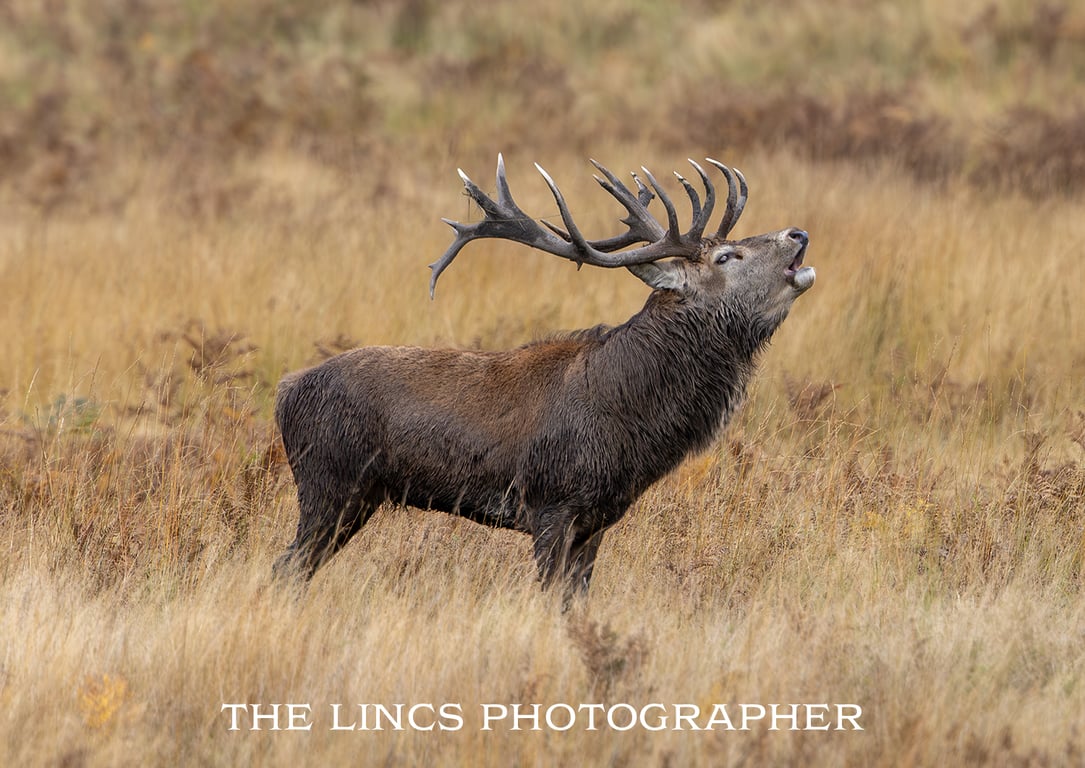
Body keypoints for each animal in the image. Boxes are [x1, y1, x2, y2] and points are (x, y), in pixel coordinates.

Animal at [272, 154, 815, 603]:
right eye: (726, 257)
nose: (797, 233)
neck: (629, 422)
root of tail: (285, 393)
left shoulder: (597, 521)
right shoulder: (552, 504)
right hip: (328, 482)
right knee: (286, 566)